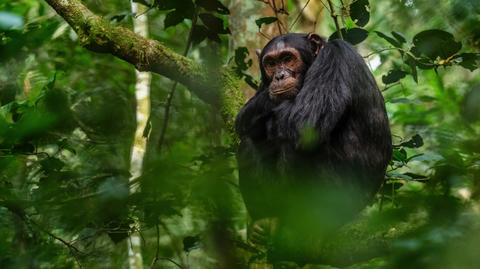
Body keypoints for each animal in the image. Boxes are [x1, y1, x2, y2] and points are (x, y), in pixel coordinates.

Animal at [234, 32, 392, 262]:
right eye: (271, 63)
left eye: (288, 58)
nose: (279, 76)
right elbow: (245, 121)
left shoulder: (335, 58)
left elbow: (305, 123)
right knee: (250, 142)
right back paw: (265, 218)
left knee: (296, 145)